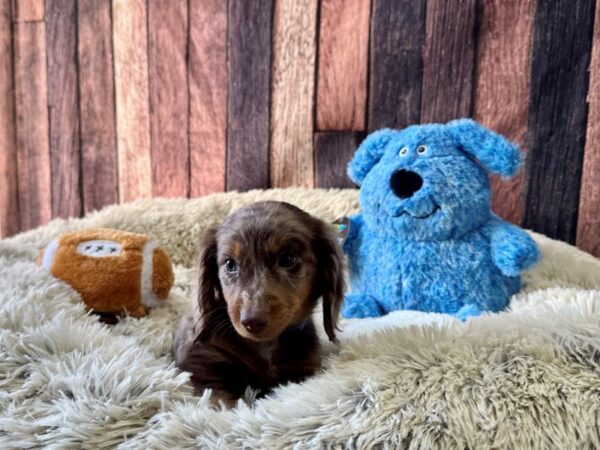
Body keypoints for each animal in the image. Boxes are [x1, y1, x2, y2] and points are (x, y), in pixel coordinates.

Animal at [173, 202, 344, 406]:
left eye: (287, 259)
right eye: (230, 264)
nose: (252, 321)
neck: (264, 346)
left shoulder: (303, 369)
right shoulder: (202, 365)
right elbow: (220, 399)